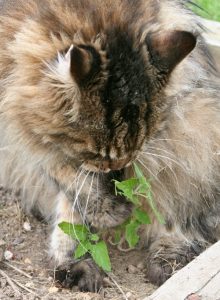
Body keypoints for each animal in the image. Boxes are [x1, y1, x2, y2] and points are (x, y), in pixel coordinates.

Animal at [0, 0, 220, 292]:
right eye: (96, 154)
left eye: (129, 157)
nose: (117, 177)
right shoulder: (25, 131)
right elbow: (66, 176)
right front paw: (108, 211)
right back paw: (75, 265)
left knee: (190, 218)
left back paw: (168, 259)